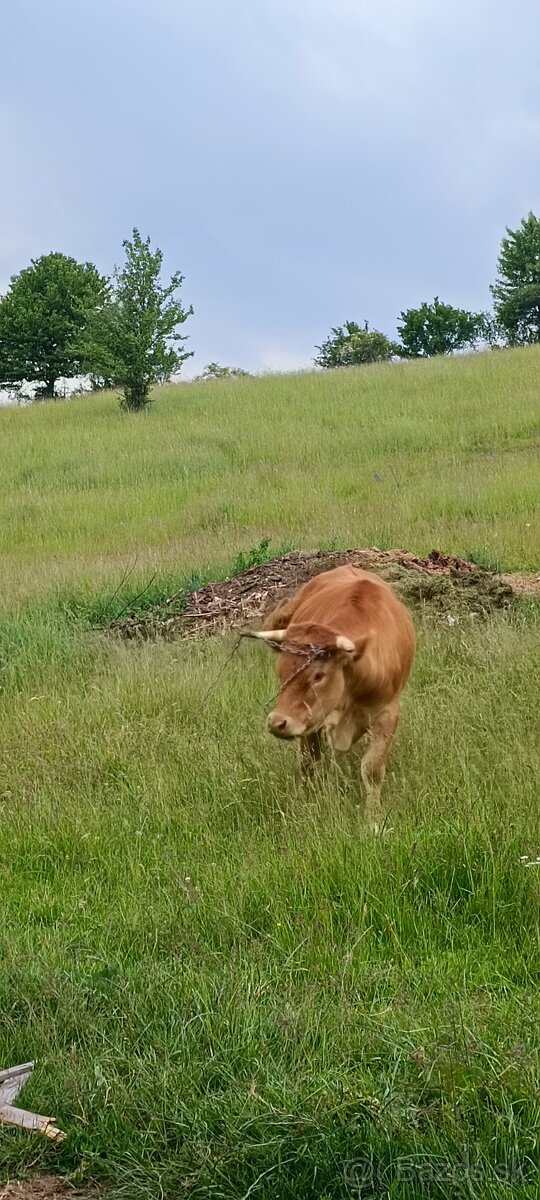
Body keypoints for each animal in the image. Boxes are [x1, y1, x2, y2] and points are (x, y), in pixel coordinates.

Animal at [250, 564, 415, 830]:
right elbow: (308, 763)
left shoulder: (388, 714)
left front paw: (373, 818)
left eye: (318, 675)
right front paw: (308, 803)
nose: (277, 722)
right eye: (281, 671)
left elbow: (372, 768)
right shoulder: (311, 721)